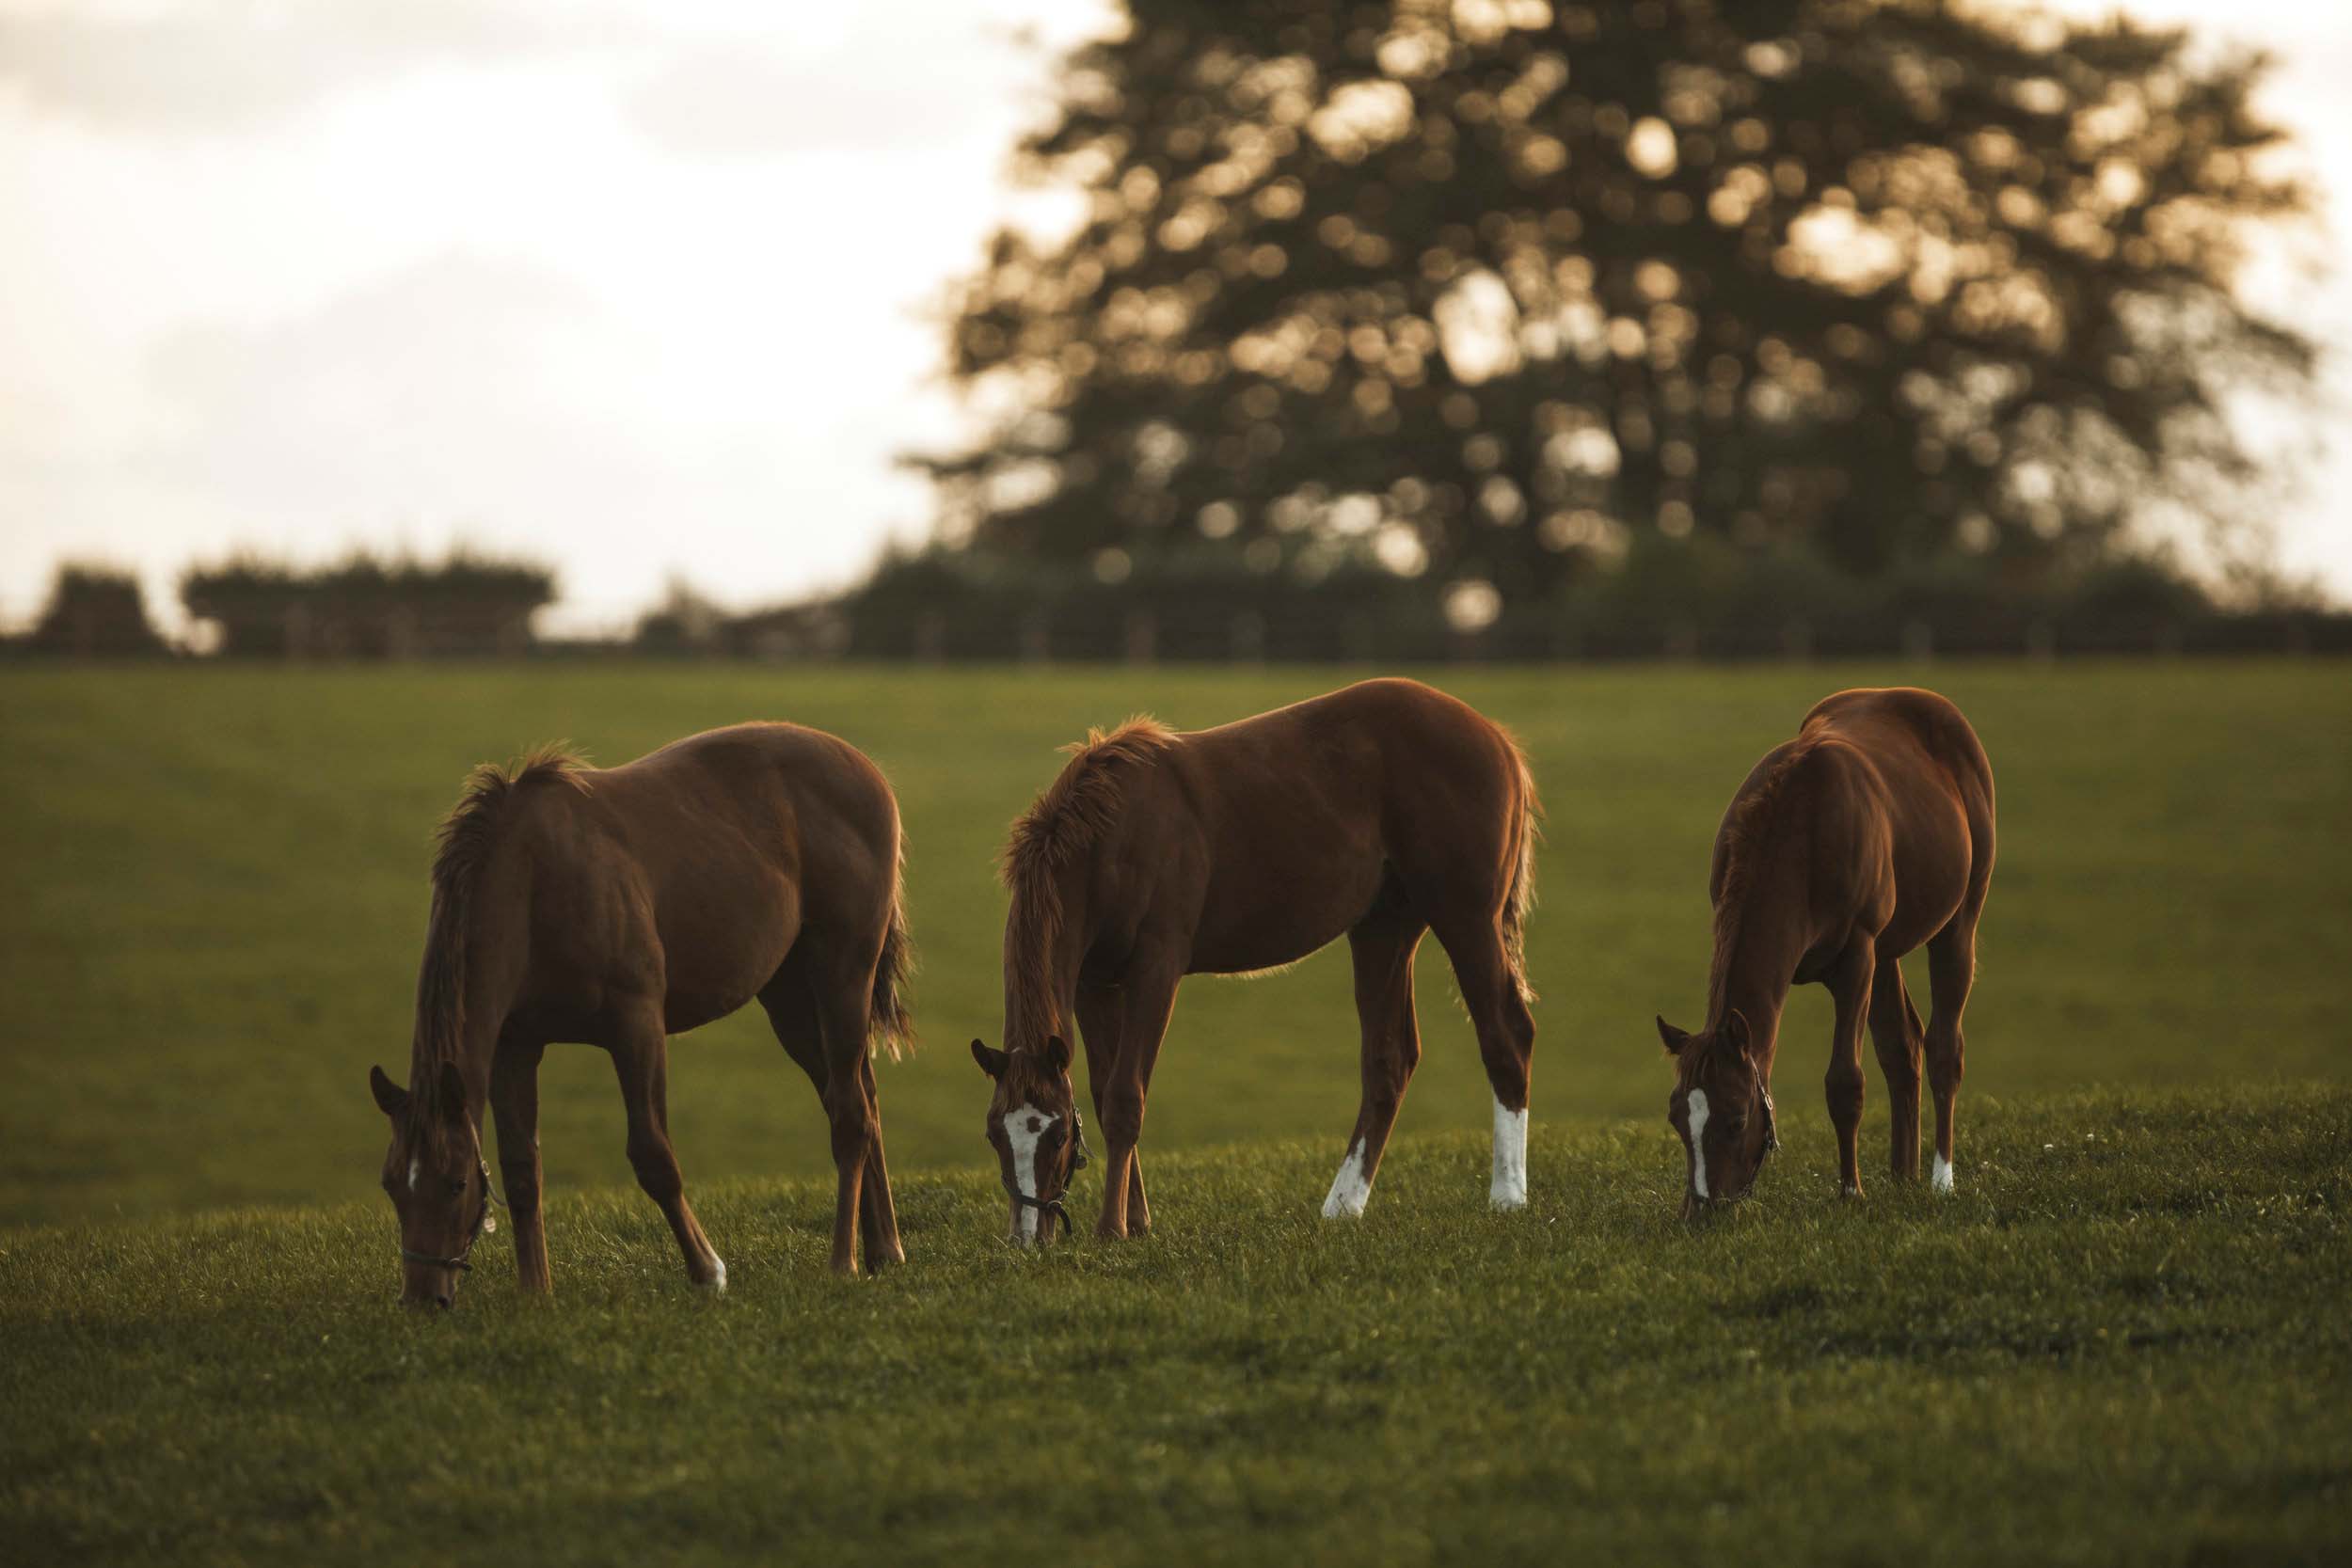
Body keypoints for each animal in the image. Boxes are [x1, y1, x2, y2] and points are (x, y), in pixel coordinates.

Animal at [367, 723, 908, 1297]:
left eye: (456, 1184)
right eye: (391, 1185)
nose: (423, 1296)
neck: (536, 882)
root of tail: (865, 769)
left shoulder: (636, 1025)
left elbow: (653, 1156)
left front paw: (707, 1271)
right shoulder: (515, 1046)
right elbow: (520, 1169)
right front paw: (536, 1292)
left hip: (843, 973)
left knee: (850, 1114)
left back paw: (844, 1260)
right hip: (791, 1000)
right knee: (860, 1099)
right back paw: (883, 1248)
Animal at [964, 676, 1534, 1241]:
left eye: (1058, 1135)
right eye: (995, 1135)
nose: (1028, 1236)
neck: (1113, 840)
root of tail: (1499, 740)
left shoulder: (1156, 968)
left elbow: (1126, 1097)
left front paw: (1112, 1229)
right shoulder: (1093, 984)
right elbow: (1105, 1094)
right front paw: (1136, 1219)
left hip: (1465, 917)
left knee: (1506, 1036)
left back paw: (1507, 1196)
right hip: (1384, 927)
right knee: (1389, 1060)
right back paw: (1343, 1204)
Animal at [1656, 686, 2004, 1212]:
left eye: (1737, 1120)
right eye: (1678, 1118)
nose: (1700, 1211)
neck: (1803, 831)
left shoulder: (1857, 959)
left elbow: (1845, 1082)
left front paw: (1850, 1191)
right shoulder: (1870, 953)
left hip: (1957, 923)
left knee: (1945, 1045)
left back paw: (1940, 1178)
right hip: (1887, 953)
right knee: (1903, 1047)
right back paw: (1902, 1176)